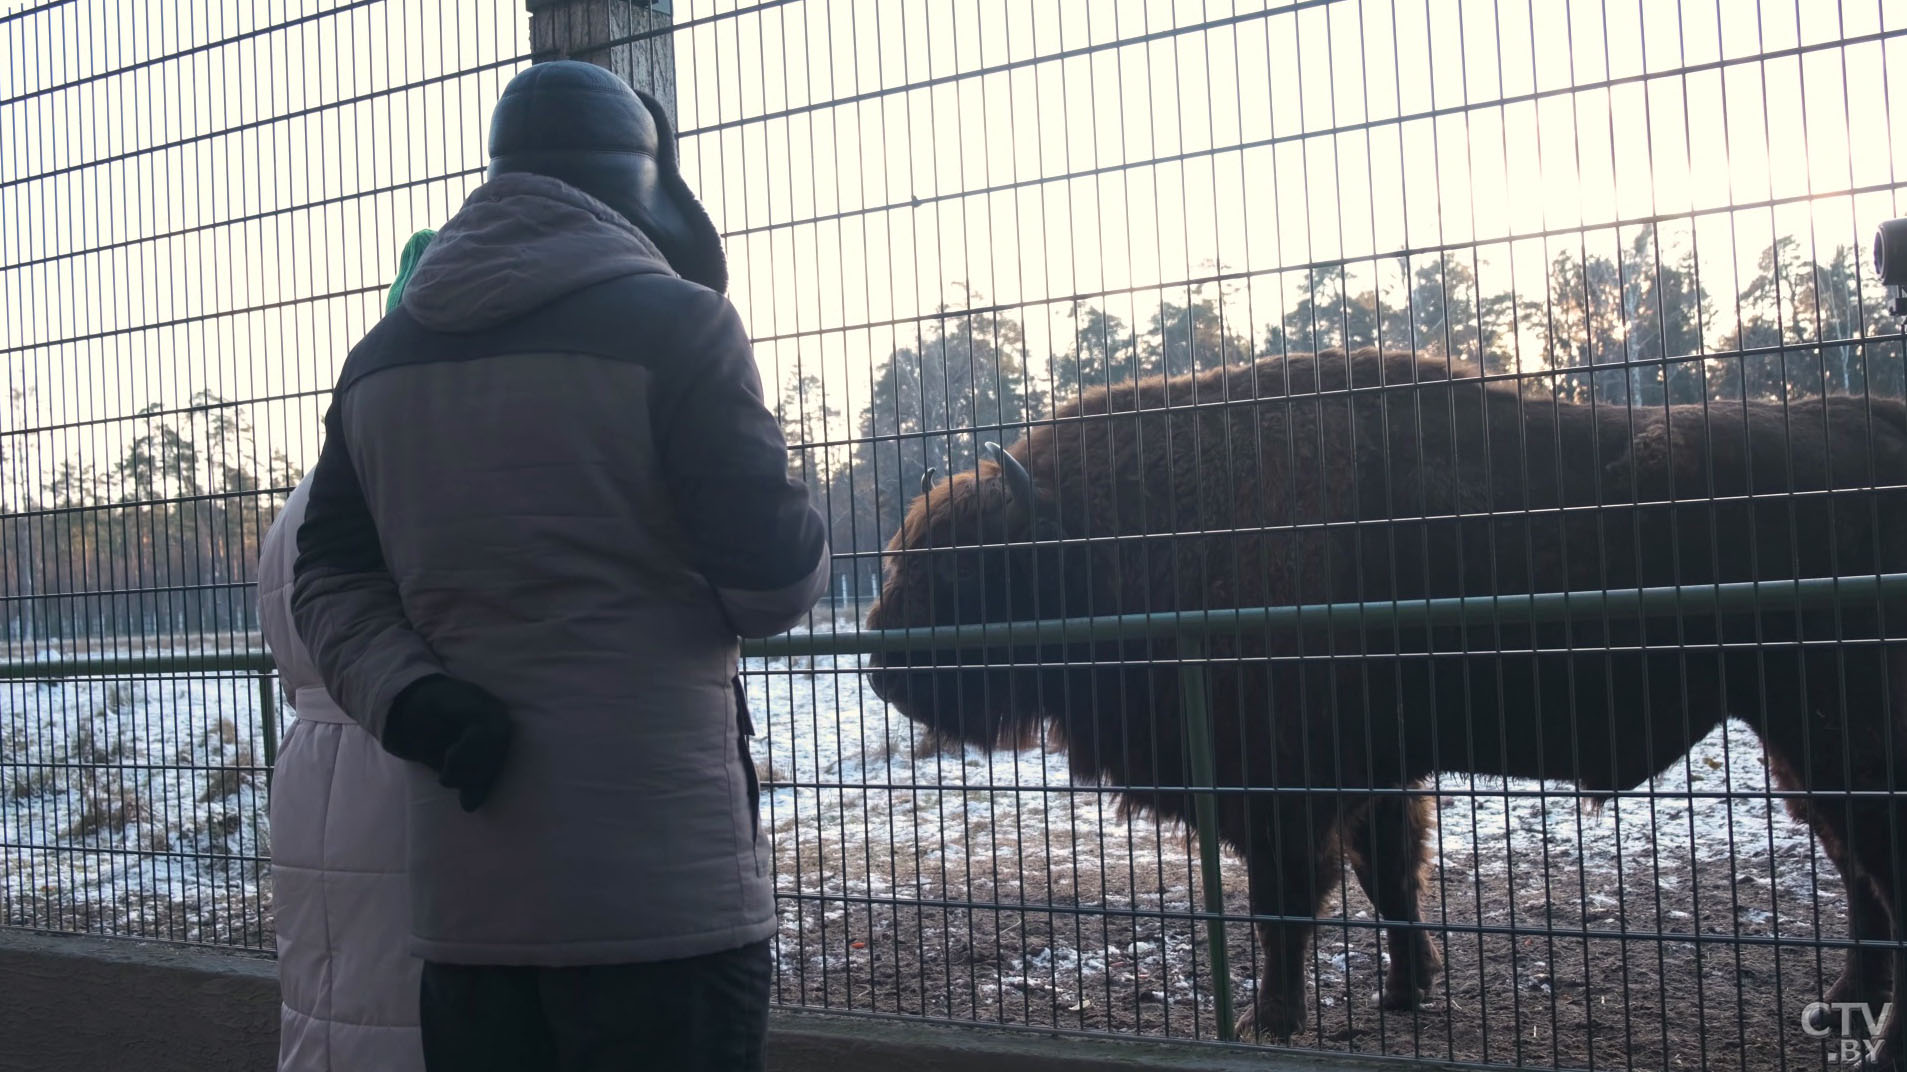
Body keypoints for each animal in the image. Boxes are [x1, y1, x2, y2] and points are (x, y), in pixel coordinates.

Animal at [869, 343, 1907, 1060]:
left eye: (962, 571)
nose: (879, 665)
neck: (1096, 531)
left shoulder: (1284, 796)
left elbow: (1286, 908)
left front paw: (1269, 1019)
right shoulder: (1374, 776)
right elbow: (1389, 881)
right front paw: (1405, 992)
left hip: (1836, 738)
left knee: (1876, 870)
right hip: (1800, 745)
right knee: (1860, 875)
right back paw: (1839, 1008)